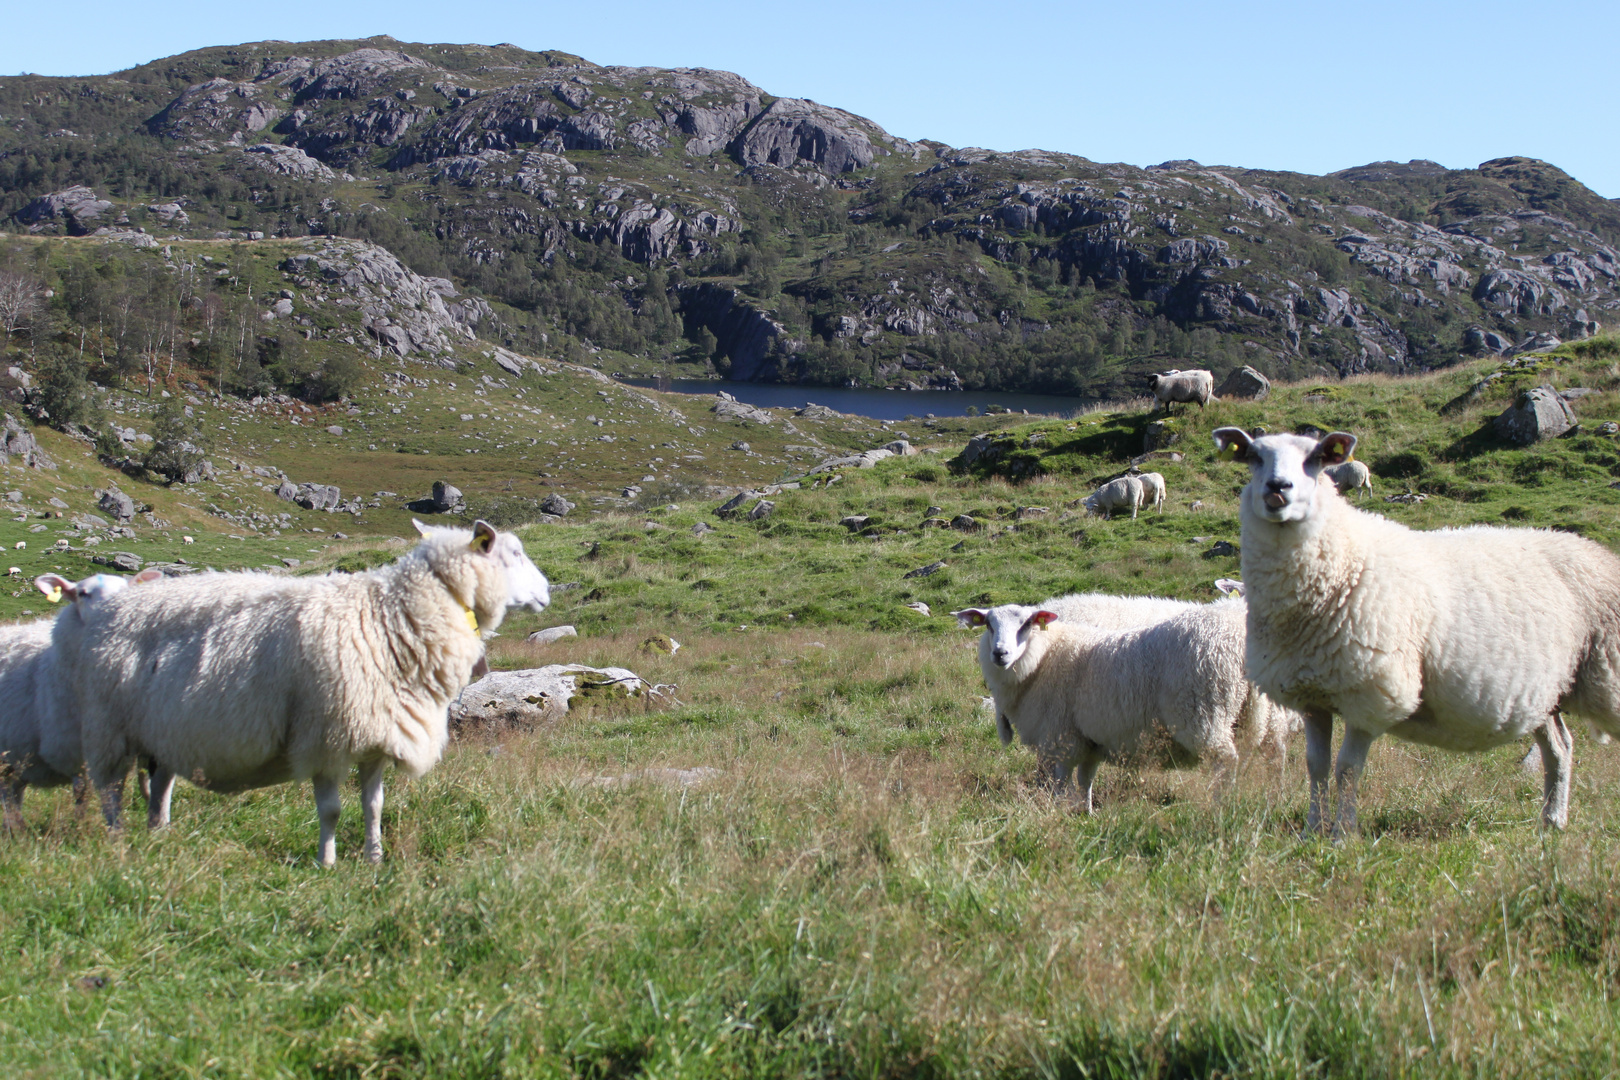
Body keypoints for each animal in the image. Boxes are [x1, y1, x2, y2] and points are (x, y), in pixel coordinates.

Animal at [0, 569, 162, 835]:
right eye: (82, 593)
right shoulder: (73, 748)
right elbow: (82, 790)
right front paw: (81, 825)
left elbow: (127, 786)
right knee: (8, 792)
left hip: (17, 754)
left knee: (13, 791)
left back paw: (17, 829)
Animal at [72, 518, 550, 867]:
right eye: (514, 553)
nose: (546, 592)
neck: (392, 619)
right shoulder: (326, 736)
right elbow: (332, 811)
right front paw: (327, 863)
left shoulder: (377, 734)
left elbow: (374, 806)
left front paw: (374, 860)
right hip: (107, 730)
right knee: (110, 793)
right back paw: (118, 842)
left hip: (165, 735)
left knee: (159, 786)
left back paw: (159, 834)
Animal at [952, 599, 1296, 809]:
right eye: (989, 625)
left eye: (1026, 625)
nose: (1000, 654)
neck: (1046, 657)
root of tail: (1238, 643)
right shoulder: (1089, 740)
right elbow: (1085, 781)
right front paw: (1085, 813)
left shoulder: (1059, 738)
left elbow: (1059, 785)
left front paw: (1057, 812)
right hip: (1261, 717)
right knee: (1270, 757)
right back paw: (1270, 799)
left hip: (1204, 715)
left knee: (1225, 762)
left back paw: (1219, 808)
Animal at [1218, 427, 1620, 841]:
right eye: (1254, 457)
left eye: (1316, 459)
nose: (1277, 488)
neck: (1345, 561)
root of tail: (1590, 546)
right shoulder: (1312, 694)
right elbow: (1316, 767)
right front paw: (1313, 829)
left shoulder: (1374, 691)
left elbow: (1347, 769)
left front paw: (1343, 834)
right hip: (1545, 693)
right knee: (1560, 746)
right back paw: (1552, 821)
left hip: (1608, 670)